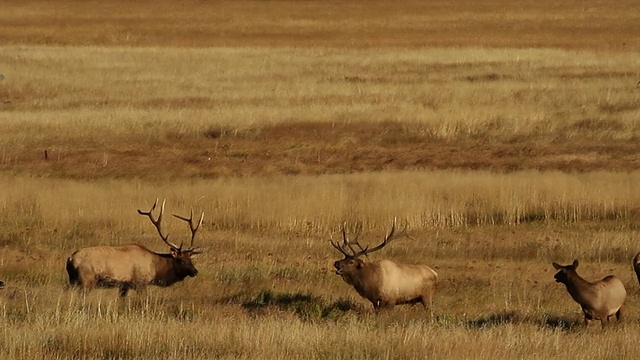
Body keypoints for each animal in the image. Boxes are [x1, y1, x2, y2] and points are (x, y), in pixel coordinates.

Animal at [65, 198, 205, 296]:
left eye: (191, 259)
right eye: (181, 260)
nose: (195, 271)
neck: (155, 268)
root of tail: (70, 260)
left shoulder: (124, 286)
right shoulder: (140, 283)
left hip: (73, 281)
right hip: (86, 281)